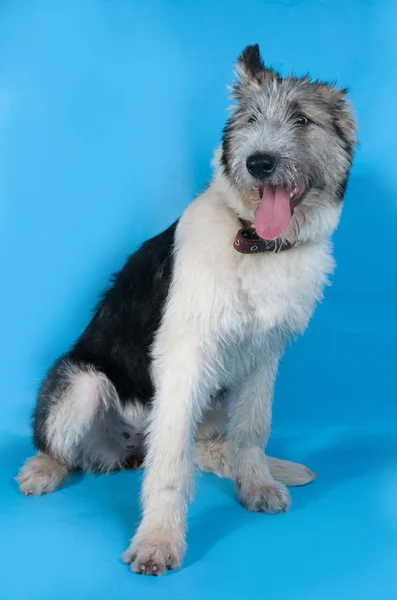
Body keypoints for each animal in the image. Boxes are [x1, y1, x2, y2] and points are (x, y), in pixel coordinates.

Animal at [17, 44, 356, 576]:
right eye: (251, 118)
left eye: (303, 119)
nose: (259, 163)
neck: (253, 242)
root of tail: (126, 449)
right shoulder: (184, 358)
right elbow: (172, 459)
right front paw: (158, 538)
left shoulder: (264, 355)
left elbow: (252, 428)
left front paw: (256, 482)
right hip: (84, 383)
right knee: (63, 446)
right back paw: (42, 469)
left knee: (209, 443)